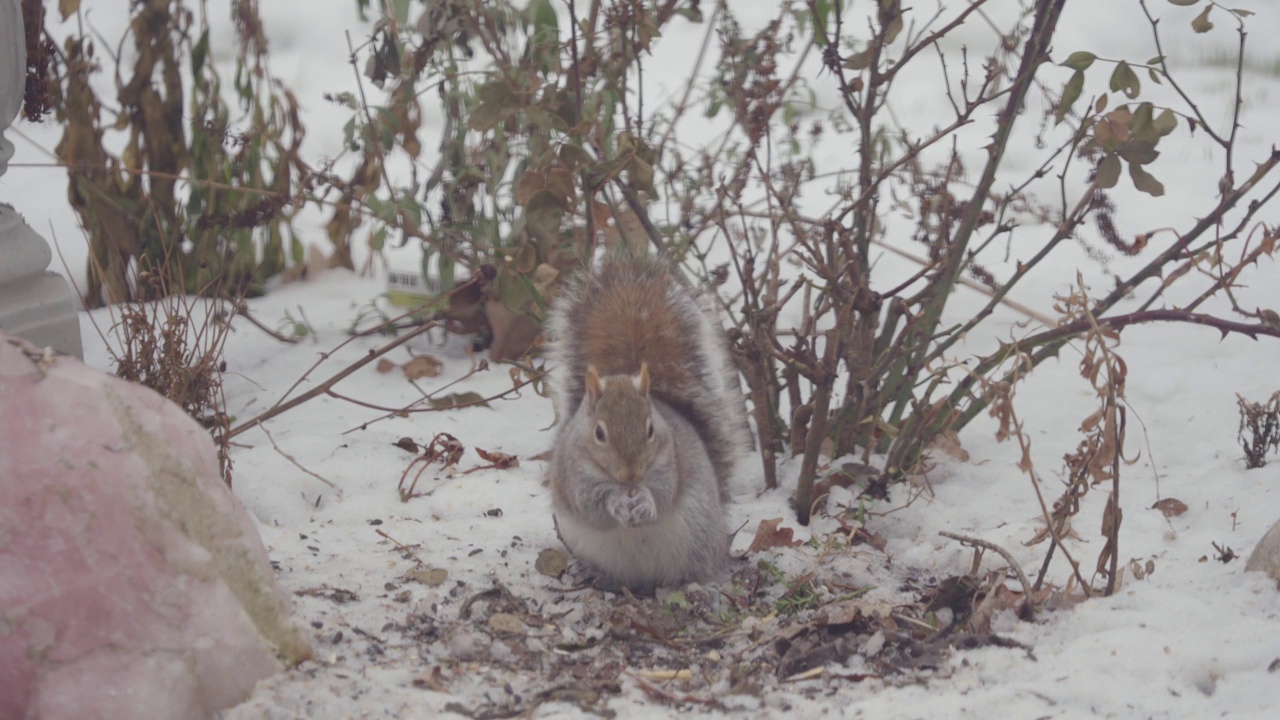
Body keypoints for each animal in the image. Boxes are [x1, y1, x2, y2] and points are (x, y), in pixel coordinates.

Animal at [542, 252, 747, 594]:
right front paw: (614, 503)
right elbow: (591, 504)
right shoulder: (573, 474)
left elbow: (663, 493)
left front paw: (647, 503)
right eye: (599, 433)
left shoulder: (671, 460)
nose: (631, 475)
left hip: (699, 538)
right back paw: (605, 579)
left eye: (650, 429)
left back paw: (692, 585)